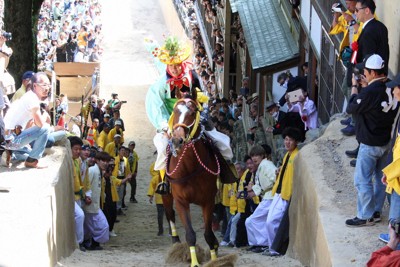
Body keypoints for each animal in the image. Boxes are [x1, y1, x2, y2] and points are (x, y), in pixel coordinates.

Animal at [162, 98, 222, 267]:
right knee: (169, 214)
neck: (189, 166)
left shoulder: (208, 200)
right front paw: (194, 262)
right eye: (175, 111)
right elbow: (190, 234)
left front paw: (214, 259)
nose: (177, 140)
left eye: (192, 112)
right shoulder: (181, 201)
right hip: (166, 195)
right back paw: (175, 240)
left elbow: (208, 234)